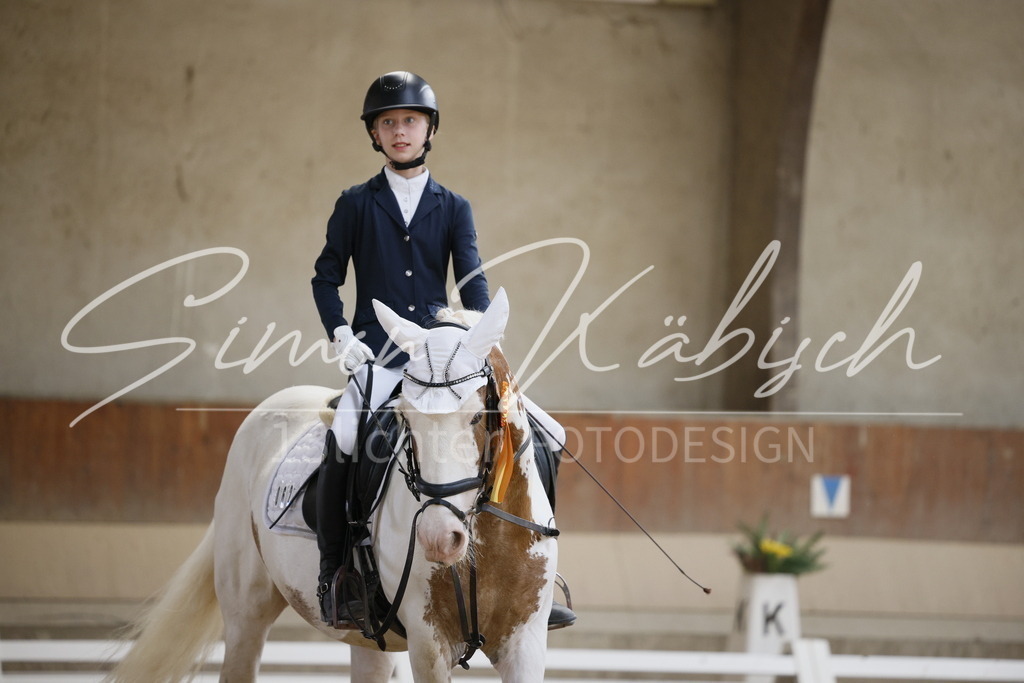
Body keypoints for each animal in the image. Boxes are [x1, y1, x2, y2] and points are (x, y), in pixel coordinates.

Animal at [106, 287, 560, 682]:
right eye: (405, 419)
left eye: (476, 415)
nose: (437, 537)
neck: (487, 539)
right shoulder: (429, 643)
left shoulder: (525, 643)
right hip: (245, 612)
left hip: (369, 639)